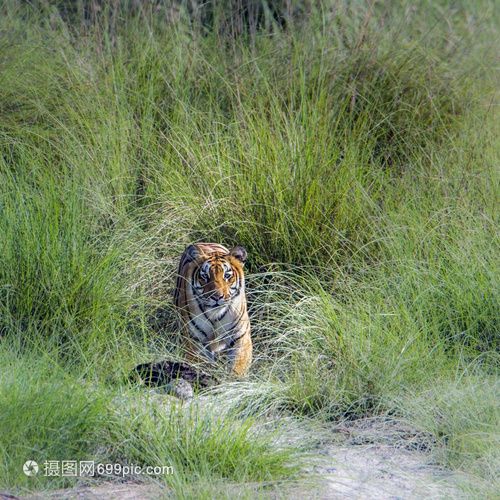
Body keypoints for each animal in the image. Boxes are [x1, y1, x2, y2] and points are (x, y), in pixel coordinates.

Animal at [174, 241, 252, 376]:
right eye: (205, 276)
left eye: (227, 276)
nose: (216, 297)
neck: (215, 314)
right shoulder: (193, 340)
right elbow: (199, 363)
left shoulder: (241, 338)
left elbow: (238, 366)